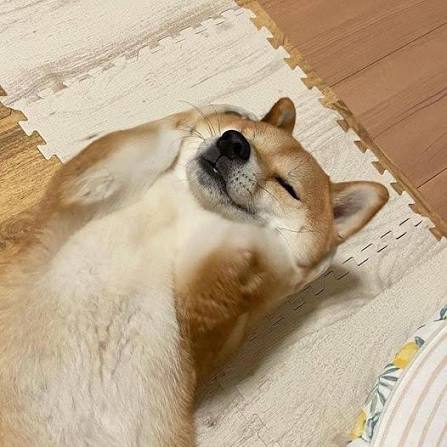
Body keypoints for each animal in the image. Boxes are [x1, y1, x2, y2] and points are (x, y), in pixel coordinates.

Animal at [0, 98, 388, 446]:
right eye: (245, 134)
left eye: (287, 186)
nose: (233, 142)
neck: (184, 213)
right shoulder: (76, 195)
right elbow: (142, 136)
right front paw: (222, 110)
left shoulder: (201, 319)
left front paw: (295, 252)